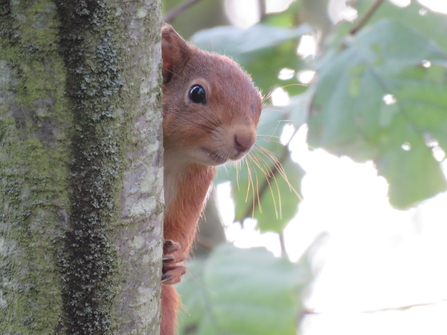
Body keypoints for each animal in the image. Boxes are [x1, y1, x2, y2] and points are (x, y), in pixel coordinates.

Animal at [161, 24, 262, 335]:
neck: (174, 154)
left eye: (257, 106)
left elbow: (181, 224)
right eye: (196, 92)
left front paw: (175, 262)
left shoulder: (196, 181)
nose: (245, 140)